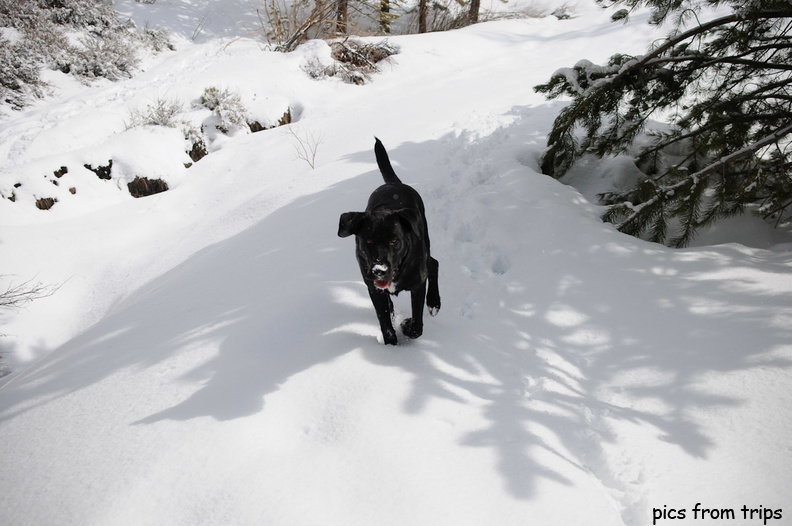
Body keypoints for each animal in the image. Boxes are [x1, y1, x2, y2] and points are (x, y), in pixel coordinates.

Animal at [338, 140, 442, 346]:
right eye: (368, 240)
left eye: (395, 240)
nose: (380, 270)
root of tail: (394, 183)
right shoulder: (373, 288)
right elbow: (385, 321)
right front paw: (391, 346)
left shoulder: (418, 284)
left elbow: (417, 326)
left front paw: (407, 325)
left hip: (424, 244)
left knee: (433, 263)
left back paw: (434, 302)